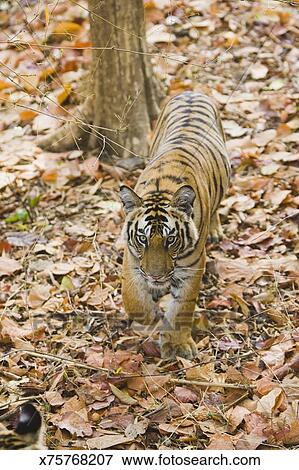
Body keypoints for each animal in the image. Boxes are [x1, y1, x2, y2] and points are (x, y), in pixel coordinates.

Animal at [119, 90, 230, 358]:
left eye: (171, 239)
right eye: (142, 238)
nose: (156, 276)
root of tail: (192, 91)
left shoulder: (192, 266)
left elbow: (183, 307)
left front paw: (178, 344)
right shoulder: (131, 258)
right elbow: (133, 299)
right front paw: (152, 318)